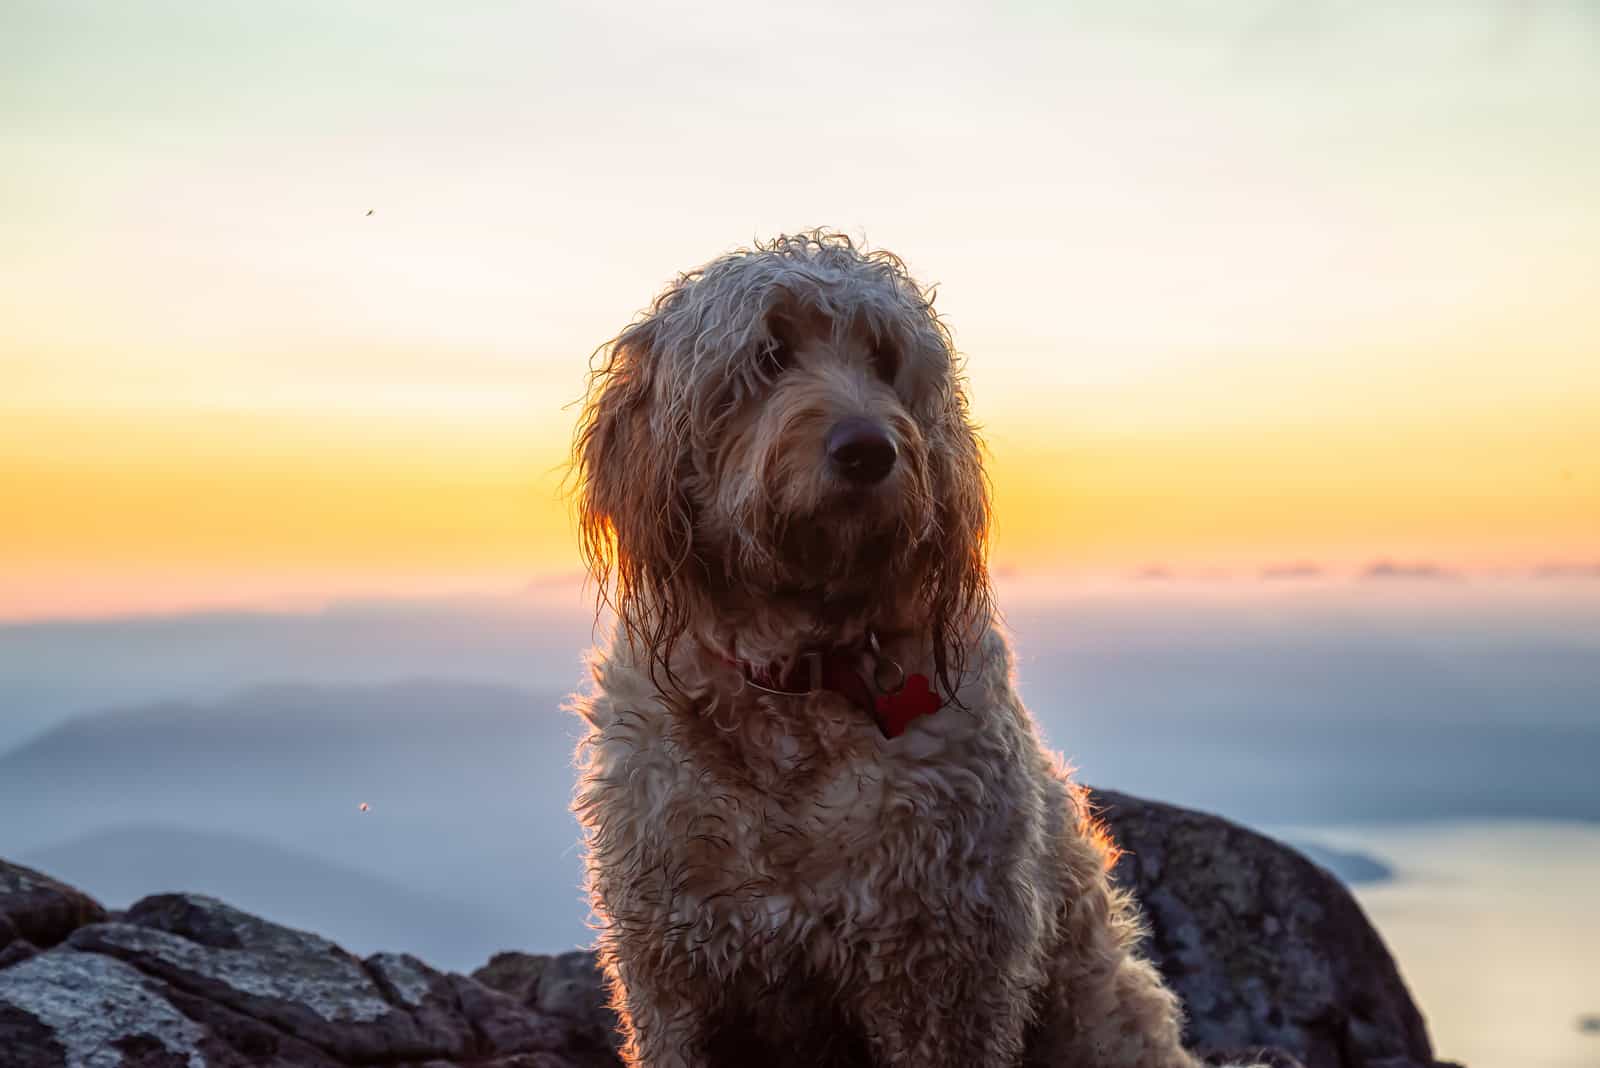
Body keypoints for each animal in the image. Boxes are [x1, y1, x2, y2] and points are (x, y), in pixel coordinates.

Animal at [569, 233, 1241, 1068]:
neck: (802, 685)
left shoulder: (943, 973)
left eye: (885, 359)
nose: (867, 450)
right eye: (769, 353)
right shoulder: (678, 977)